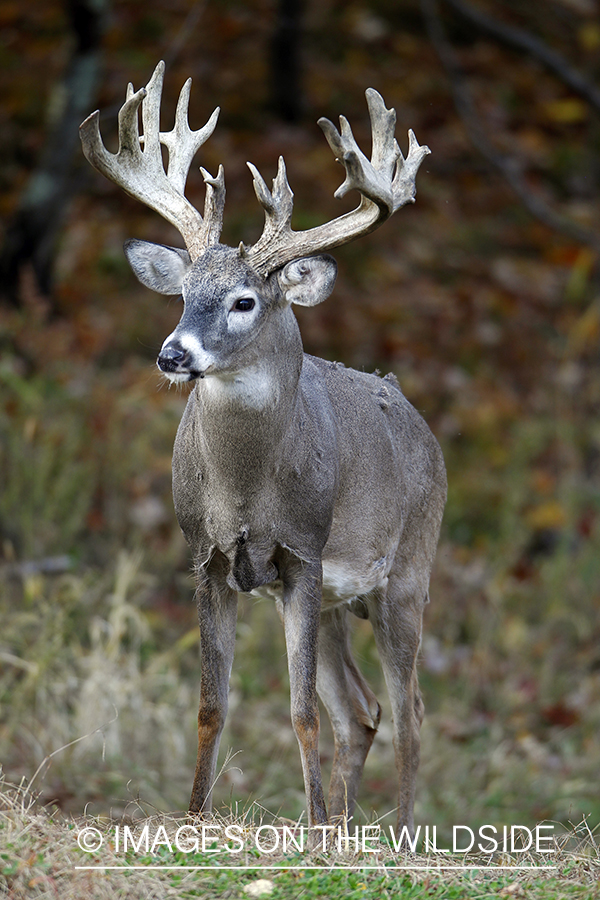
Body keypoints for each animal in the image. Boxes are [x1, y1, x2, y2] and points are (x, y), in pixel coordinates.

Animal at [78, 61, 446, 836]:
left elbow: (300, 711)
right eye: (184, 292)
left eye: (245, 300)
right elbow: (211, 705)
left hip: (407, 573)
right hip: (338, 602)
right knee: (363, 711)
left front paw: (308, 825)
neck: (247, 487)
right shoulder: (208, 558)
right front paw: (194, 820)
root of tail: (414, 412)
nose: (173, 355)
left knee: (409, 711)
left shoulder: (301, 553)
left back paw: (396, 835)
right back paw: (344, 826)